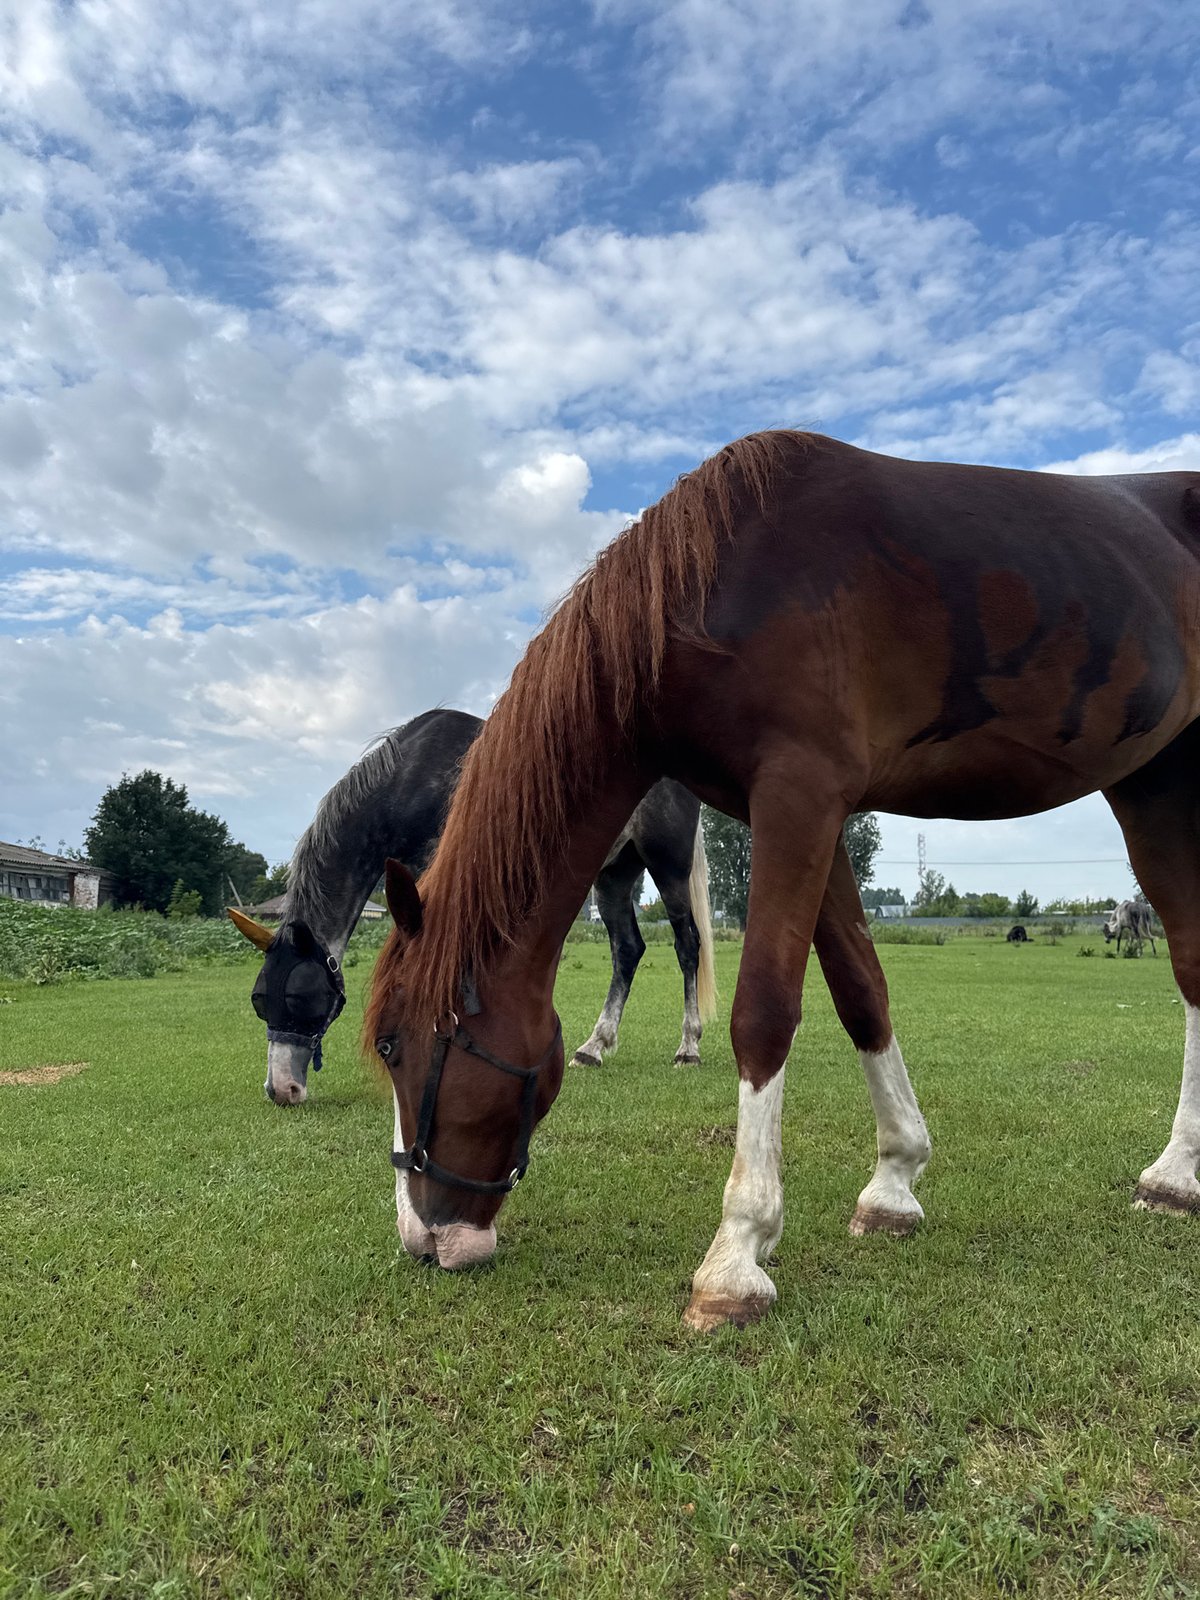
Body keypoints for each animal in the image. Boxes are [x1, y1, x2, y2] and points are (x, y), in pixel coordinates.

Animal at [229, 709, 716, 1104]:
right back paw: (594, 1047)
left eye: (301, 997)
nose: (282, 1089)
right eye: (258, 1000)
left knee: (686, 943)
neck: (410, 779)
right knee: (628, 950)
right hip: (614, 874)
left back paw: (688, 1047)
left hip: (668, 864)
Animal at [365, 429, 1200, 1328]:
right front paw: (893, 1182)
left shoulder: (799, 795)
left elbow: (763, 1014)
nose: (422, 1237)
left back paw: (1176, 1173)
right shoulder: (814, 813)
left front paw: (736, 1254)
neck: (724, 585)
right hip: (1152, 783)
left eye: (393, 1045)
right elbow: (861, 992)